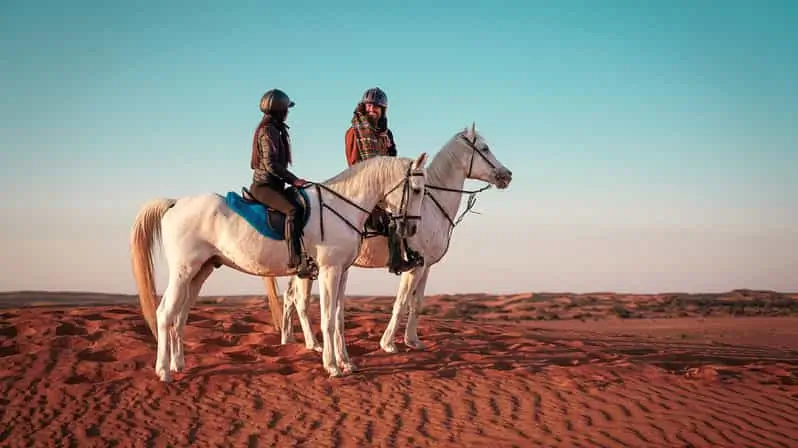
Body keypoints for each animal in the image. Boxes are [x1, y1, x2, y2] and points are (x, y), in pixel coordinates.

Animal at [131, 152, 432, 380]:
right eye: (417, 190)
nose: (412, 228)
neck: (343, 206)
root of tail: (174, 203)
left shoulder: (343, 272)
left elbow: (338, 318)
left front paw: (346, 362)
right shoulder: (329, 271)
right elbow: (327, 319)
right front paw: (332, 366)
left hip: (199, 272)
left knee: (180, 316)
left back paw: (178, 364)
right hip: (183, 271)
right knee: (164, 313)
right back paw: (163, 371)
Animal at [270, 123, 512, 354]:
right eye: (484, 148)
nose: (507, 175)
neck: (429, 207)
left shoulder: (426, 266)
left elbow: (417, 303)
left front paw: (413, 340)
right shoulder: (415, 266)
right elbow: (402, 302)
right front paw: (388, 343)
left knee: (290, 297)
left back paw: (288, 340)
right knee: (299, 300)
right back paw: (313, 344)